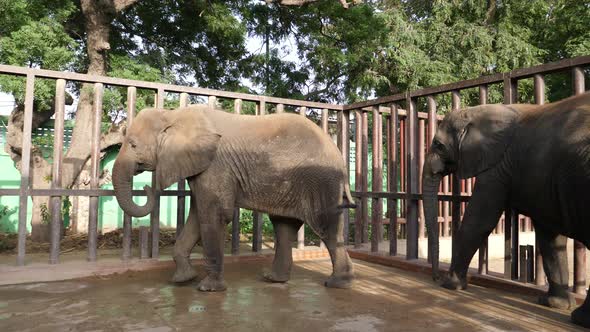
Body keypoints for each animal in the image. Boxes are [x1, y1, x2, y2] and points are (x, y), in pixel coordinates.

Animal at [113, 103, 358, 290]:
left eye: (133, 145)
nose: (146, 186)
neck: (172, 115)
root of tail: (340, 156)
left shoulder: (215, 166)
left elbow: (215, 215)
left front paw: (208, 288)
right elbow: (198, 216)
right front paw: (183, 279)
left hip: (321, 182)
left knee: (326, 229)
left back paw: (337, 284)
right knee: (284, 227)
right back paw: (273, 279)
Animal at [424, 91, 590, 326]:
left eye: (438, 145)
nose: (435, 277)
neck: (478, 111)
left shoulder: (497, 167)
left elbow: (479, 221)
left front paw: (451, 285)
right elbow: (550, 237)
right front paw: (554, 304)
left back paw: (580, 319)